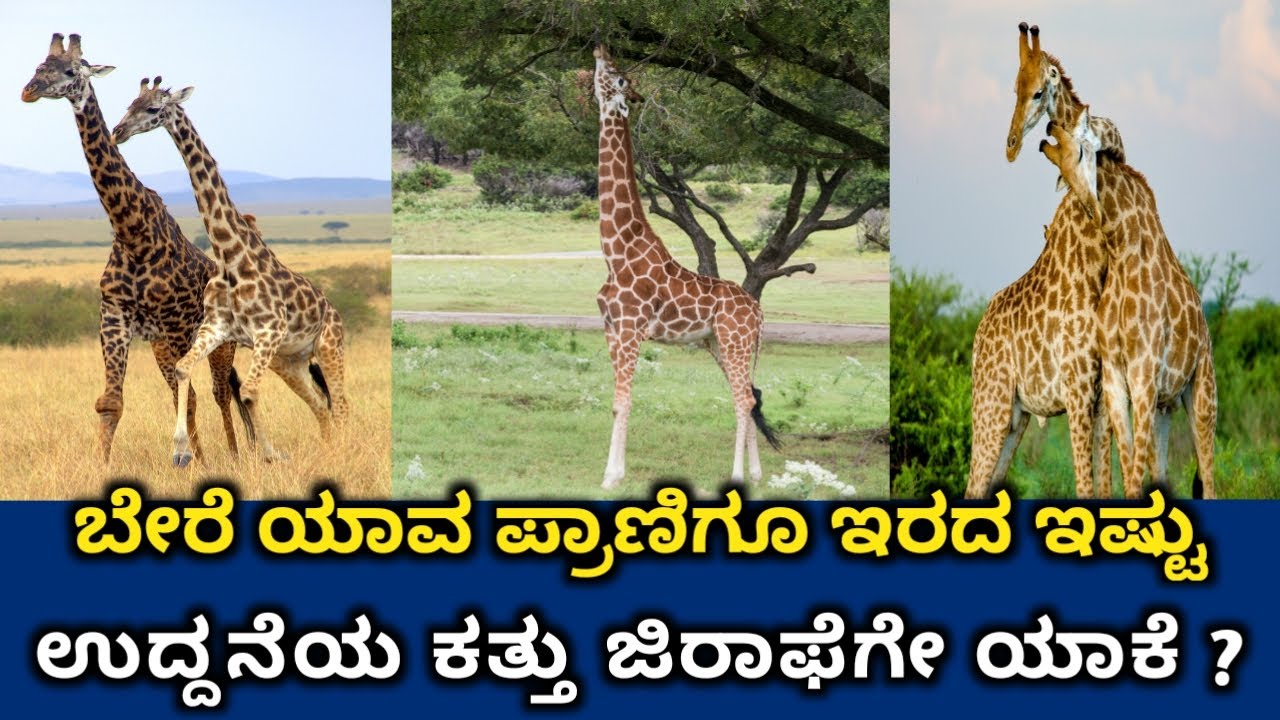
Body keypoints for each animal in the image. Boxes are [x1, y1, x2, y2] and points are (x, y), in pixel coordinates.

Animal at [21, 33, 246, 465]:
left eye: (71, 71)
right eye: (39, 66)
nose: (29, 90)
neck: (132, 231)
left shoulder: (176, 325)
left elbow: (192, 397)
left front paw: (194, 460)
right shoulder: (114, 316)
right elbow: (111, 402)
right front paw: (102, 466)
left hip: (217, 342)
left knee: (222, 392)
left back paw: (237, 453)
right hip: (160, 345)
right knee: (205, 392)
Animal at [111, 78, 349, 466]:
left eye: (153, 108)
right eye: (130, 103)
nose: (118, 131)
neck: (230, 255)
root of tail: (334, 311)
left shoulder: (268, 330)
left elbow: (249, 392)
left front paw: (270, 455)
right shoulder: (218, 327)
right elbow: (184, 369)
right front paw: (180, 450)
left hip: (329, 346)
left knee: (340, 403)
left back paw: (343, 450)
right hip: (289, 361)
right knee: (320, 404)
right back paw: (329, 450)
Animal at [589, 46, 780, 489]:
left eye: (619, 78)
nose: (599, 49)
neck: (615, 250)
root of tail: (759, 311)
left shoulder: (630, 328)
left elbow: (623, 401)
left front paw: (612, 477)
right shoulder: (610, 327)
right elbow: (617, 401)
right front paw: (612, 472)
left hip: (734, 340)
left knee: (744, 398)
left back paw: (739, 475)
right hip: (720, 343)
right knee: (747, 396)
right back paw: (757, 473)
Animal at [965, 108, 1111, 499]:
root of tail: (978, 336)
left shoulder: (1103, 397)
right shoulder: (1077, 392)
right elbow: (1084, 482)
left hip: (1017, 418)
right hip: (993, 402)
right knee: (974, 482)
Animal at [1038, 108, 1217, 499]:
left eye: (1080, 152)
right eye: (1060, 170)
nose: (1048, 128)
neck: (1122, 252)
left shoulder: (1143, 373)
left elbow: (1133, 474)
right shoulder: (1116, 377)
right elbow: (1130, 466)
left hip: (1203, 389)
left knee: (1210, 475)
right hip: (1166, 406)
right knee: (1162, 467)